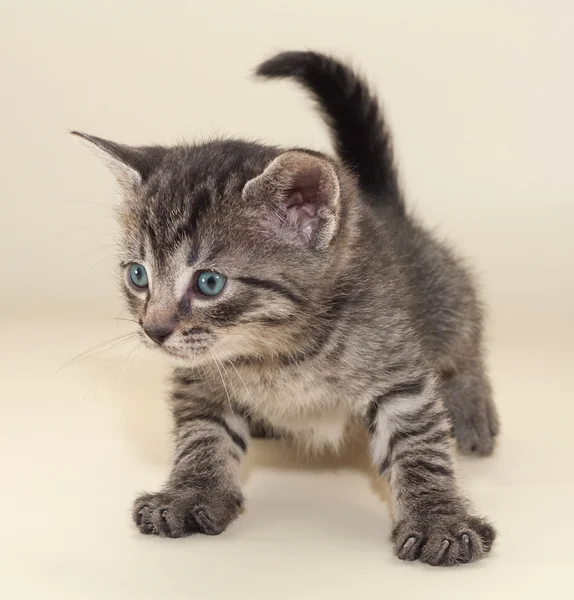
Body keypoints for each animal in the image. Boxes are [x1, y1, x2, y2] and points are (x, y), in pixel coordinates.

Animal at [75, 49, 500, 564]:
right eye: (138, 275)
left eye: (209, 282)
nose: (153, 330)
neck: (278, 353)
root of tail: (382, 207)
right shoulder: (201, 380)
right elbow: (203, 434)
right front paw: (190, 494)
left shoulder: (398, 373)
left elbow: (418, 447)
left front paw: (439, 521)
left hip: (445, 298)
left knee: (466, 337)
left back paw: (472, 407)